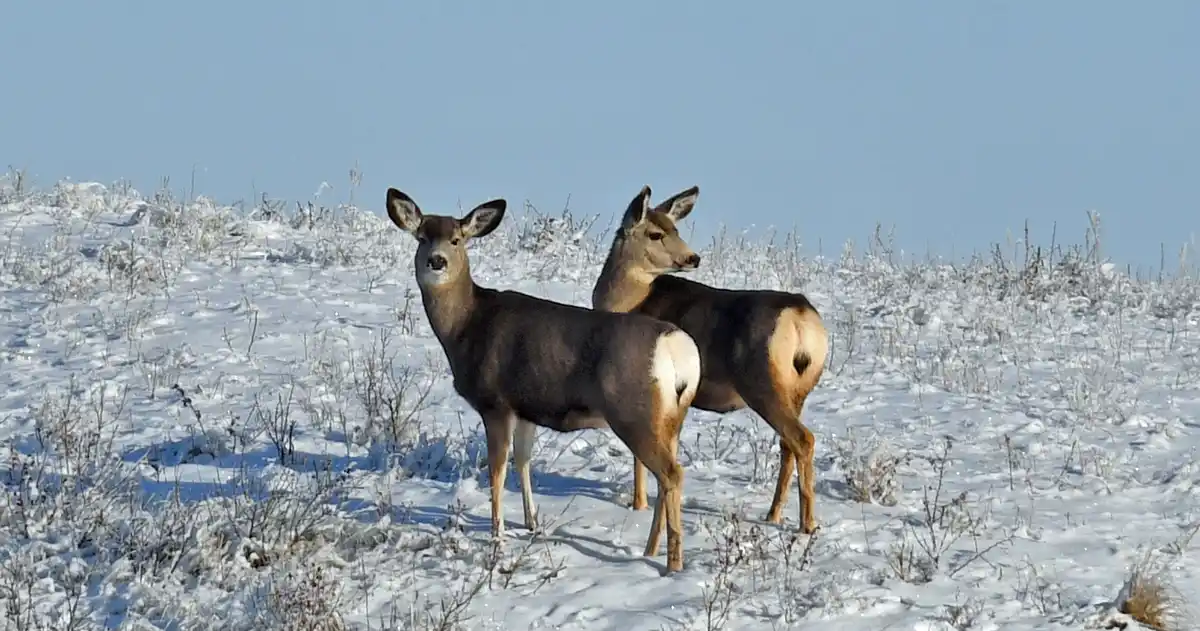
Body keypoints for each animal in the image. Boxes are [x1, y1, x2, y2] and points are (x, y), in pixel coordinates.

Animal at [384, 186, 702, 573]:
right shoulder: (526, 408)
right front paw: (531, 522)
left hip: (634, 412)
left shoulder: (495, 403)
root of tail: (679, 348)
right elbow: (523, 460)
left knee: (672, 474)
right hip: (672, 417)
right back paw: (650, 551)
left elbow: (496, 471)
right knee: (666, 475)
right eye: (421, 237)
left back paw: (672, 563)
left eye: (457, 240)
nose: (436, 261)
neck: (465, 326)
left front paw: (498, 536)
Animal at [592, 185, 829, 535]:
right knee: (788, 444)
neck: (626, 301)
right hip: (799, 388)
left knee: (802, 438)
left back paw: (807, 524)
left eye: (674, 230)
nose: (693, 257)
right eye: (656, 232)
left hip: (761, 381)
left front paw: (638, 505)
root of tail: (801, 317)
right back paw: (773, 515)